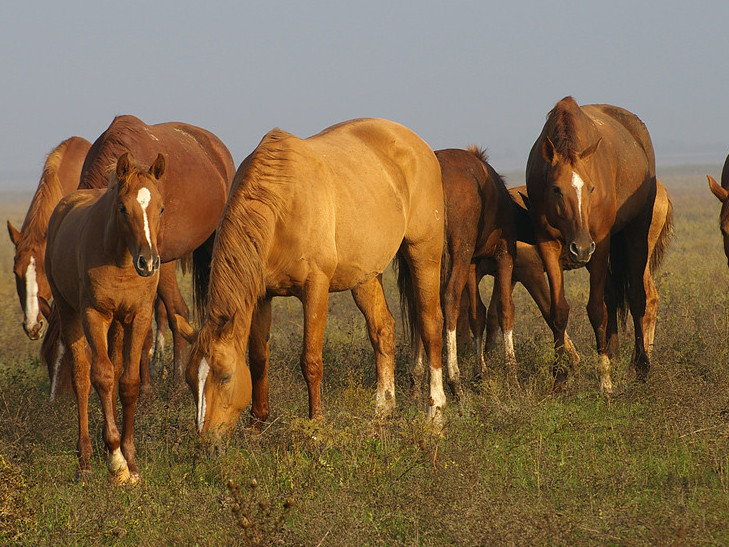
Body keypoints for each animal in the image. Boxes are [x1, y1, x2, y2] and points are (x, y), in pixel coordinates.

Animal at [46, 153, 164, 484]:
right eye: (123, 207)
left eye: (161, 207)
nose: (148, 262)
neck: (121, 259)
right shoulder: (94, 315)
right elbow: (101, 376)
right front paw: (116, 461)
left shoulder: (137, 316)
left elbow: (128, 382)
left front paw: (131, 463)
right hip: (71, 313)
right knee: (82, 379)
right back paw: (85, 460)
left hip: (117, 324)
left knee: (115, 369)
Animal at [176, 119, 446, 440]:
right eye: (190, 380)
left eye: (226, 377)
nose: (207, 441)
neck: (281, 204)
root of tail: (414, 142)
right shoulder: (262, 296)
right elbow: (258, 359)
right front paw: (257, 425)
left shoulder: (315, 289)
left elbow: (311, 360)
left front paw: (316, 425)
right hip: (366, 276)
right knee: (383, 330)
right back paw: (382, 411)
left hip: (424, 254)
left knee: (431, 326)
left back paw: (435, 415)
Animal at [524, 96, 672, 392]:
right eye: (556, 189)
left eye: (591, 188)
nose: (580, 248)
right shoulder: (547, 245)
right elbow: (558, 311)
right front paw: (559, 378)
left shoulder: (600, 245)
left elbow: (596, 309)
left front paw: (605, 380)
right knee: (614, 296)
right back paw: (616, 357)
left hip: (634, 235)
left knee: (638, 298)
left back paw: (640, 366)